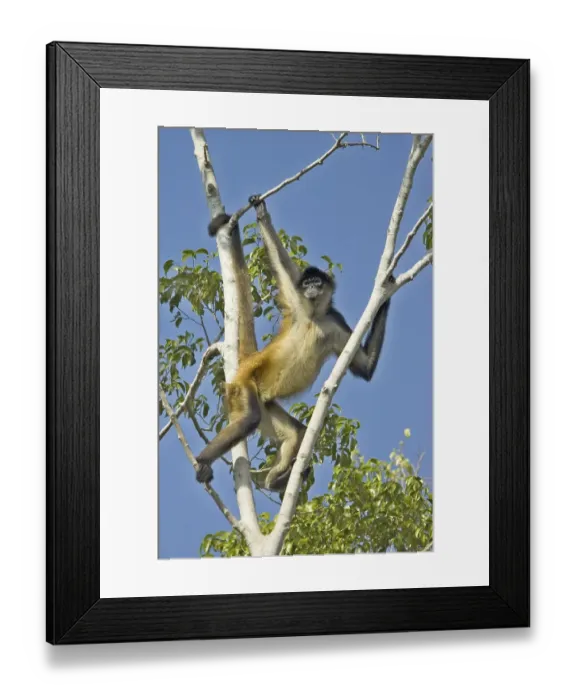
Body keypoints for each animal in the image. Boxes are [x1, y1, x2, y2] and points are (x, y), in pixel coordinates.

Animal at [194, 195, 394, 493]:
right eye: (308, 283)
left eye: (318, 283)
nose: (311, 289)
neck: (313, 317)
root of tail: (251, 360)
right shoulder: (296, 302)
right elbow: (280, 262)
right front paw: (261, 212)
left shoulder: (334, 320)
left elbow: (365, 367)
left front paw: (388, 289)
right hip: (244, 386)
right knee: (249, 419)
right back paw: (203, 461)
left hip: (265, 402)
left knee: (295, 432)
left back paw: (276, 479)